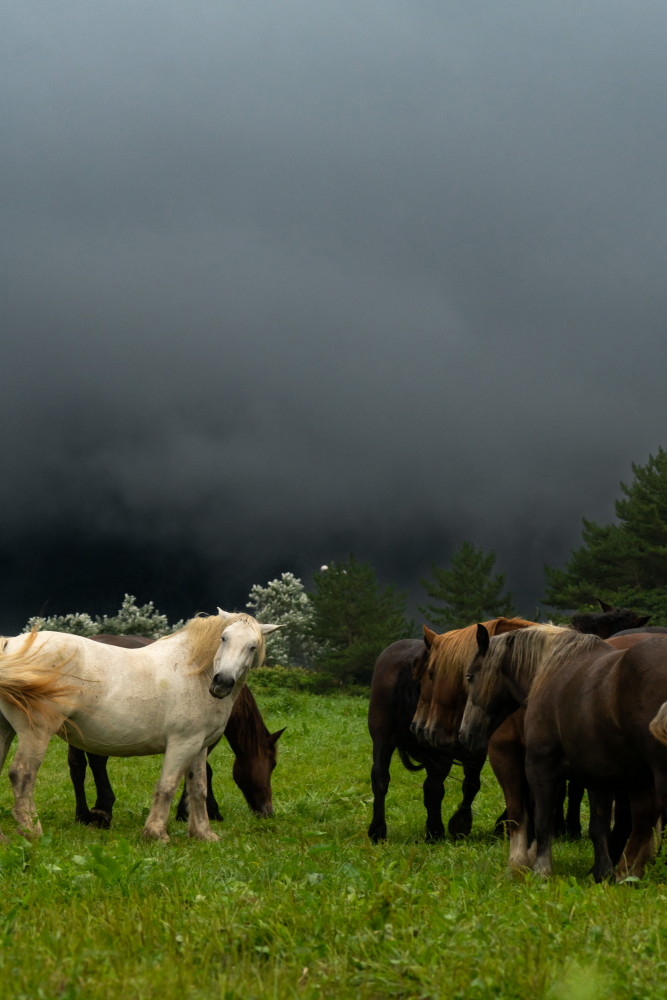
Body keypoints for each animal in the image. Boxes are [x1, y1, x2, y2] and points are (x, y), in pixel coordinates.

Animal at [66, 634, 284, 828]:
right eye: (272, 764)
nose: (267, 811)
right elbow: (204, 771)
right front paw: (197, 812)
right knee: (97, 761)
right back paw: (102, 810)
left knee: (77, 765)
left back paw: (82, 815)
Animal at [368, 618, 536, 844]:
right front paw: (469, 823)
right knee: (433, 786)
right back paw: (434, 831)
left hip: (383, 737)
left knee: (380, 777)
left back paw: (379, 830)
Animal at [459, 624, 667, 880]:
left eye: (470, 676)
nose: (464, 734)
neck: (551, 669)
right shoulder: (597, 775)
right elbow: (598, 826)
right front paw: (602, 873)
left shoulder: (539, 767)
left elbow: (542, 820)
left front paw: (541, 870)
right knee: (643, 819)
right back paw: (627, 873)